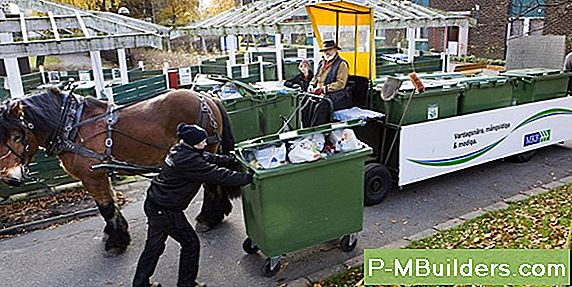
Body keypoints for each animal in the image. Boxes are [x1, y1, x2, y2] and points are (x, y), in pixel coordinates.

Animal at [0, 89, 239, 255]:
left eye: (17, 136)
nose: (10, 178)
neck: (71, 124)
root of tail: (205, 96)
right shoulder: (101, 173)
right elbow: (112, 203)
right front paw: (113, 234)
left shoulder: (92, 176)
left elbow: (105, 207)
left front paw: (116, 241)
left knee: (210, 185)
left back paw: (208, 218)